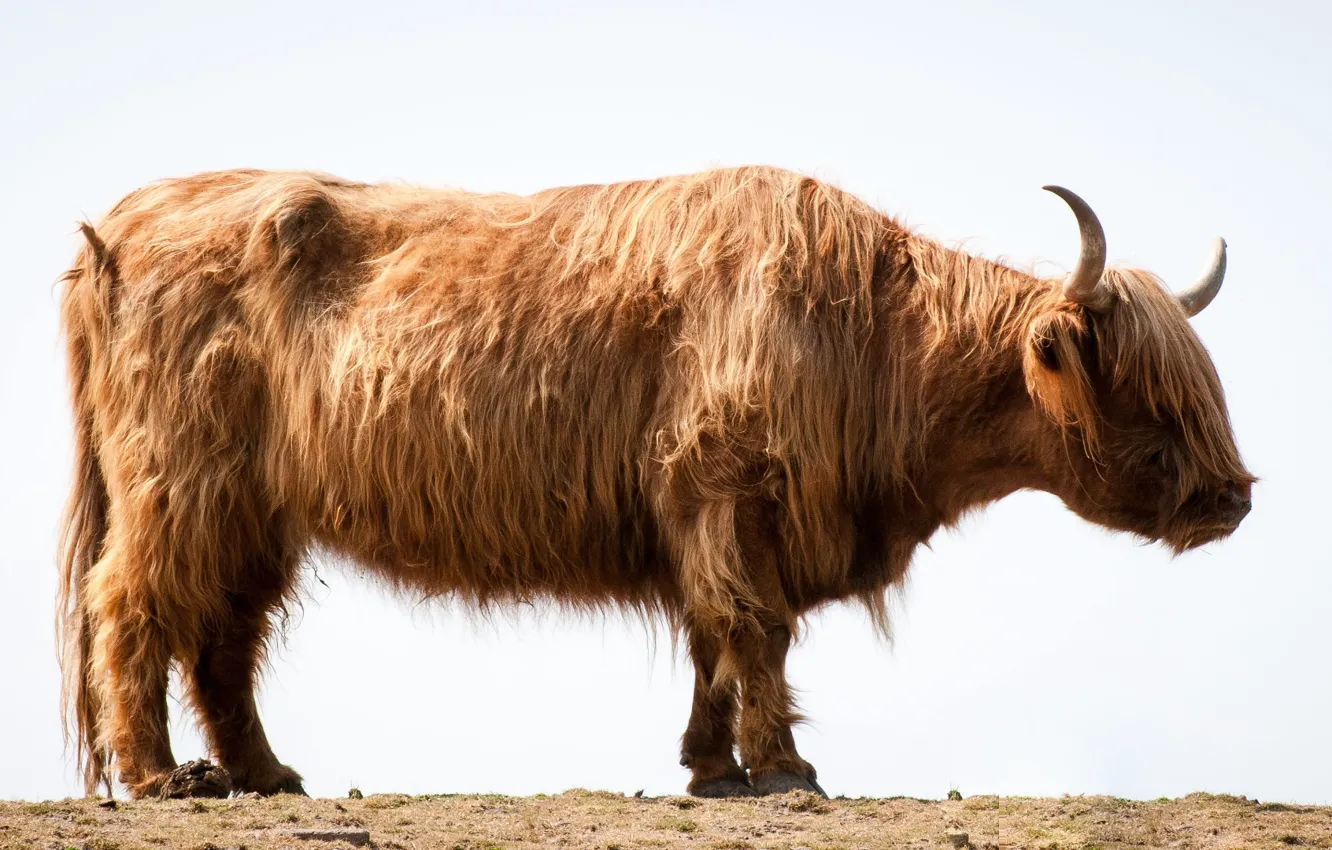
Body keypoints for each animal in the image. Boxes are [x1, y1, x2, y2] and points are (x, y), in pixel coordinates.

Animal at [57, 166, 1252, 799]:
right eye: (1145, 387)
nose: (1235, 495)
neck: (877, 337)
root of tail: (116, 226)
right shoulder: (729, 494)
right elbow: (754, 629)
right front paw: (784, 767)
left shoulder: (708, 519)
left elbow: (713, 641)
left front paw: (710, 765)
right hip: (178, 486)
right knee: (132, 609)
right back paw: (163, 779)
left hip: (253, 514)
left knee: (224, 636)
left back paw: (265, 772)